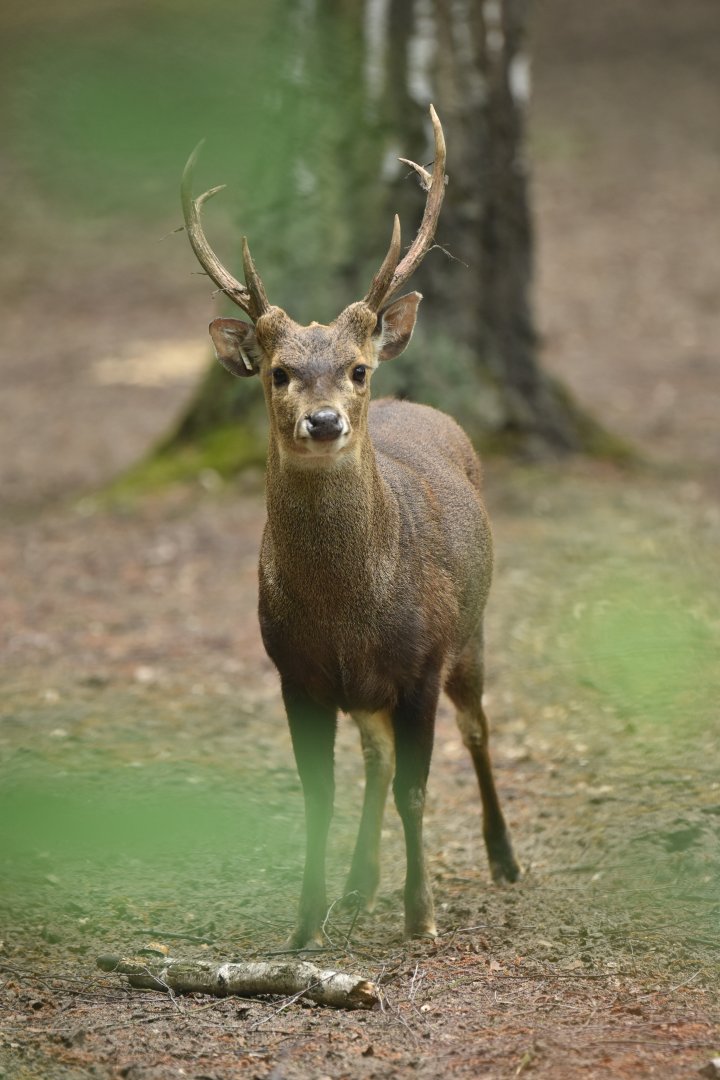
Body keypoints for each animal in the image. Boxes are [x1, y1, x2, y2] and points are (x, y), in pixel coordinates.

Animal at [181, 106, 520, 949]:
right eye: (278, 373)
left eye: (357, 369)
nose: (326, 420)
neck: (345, 610)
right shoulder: (294, 673)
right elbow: (320, 800)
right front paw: (306, 924)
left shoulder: (421, 663)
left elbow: (418, 790)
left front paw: (421, 917)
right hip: (366, 689)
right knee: (376, 757)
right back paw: (361, 888)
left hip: (472, 631)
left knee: (478, 729)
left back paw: (503, 860)